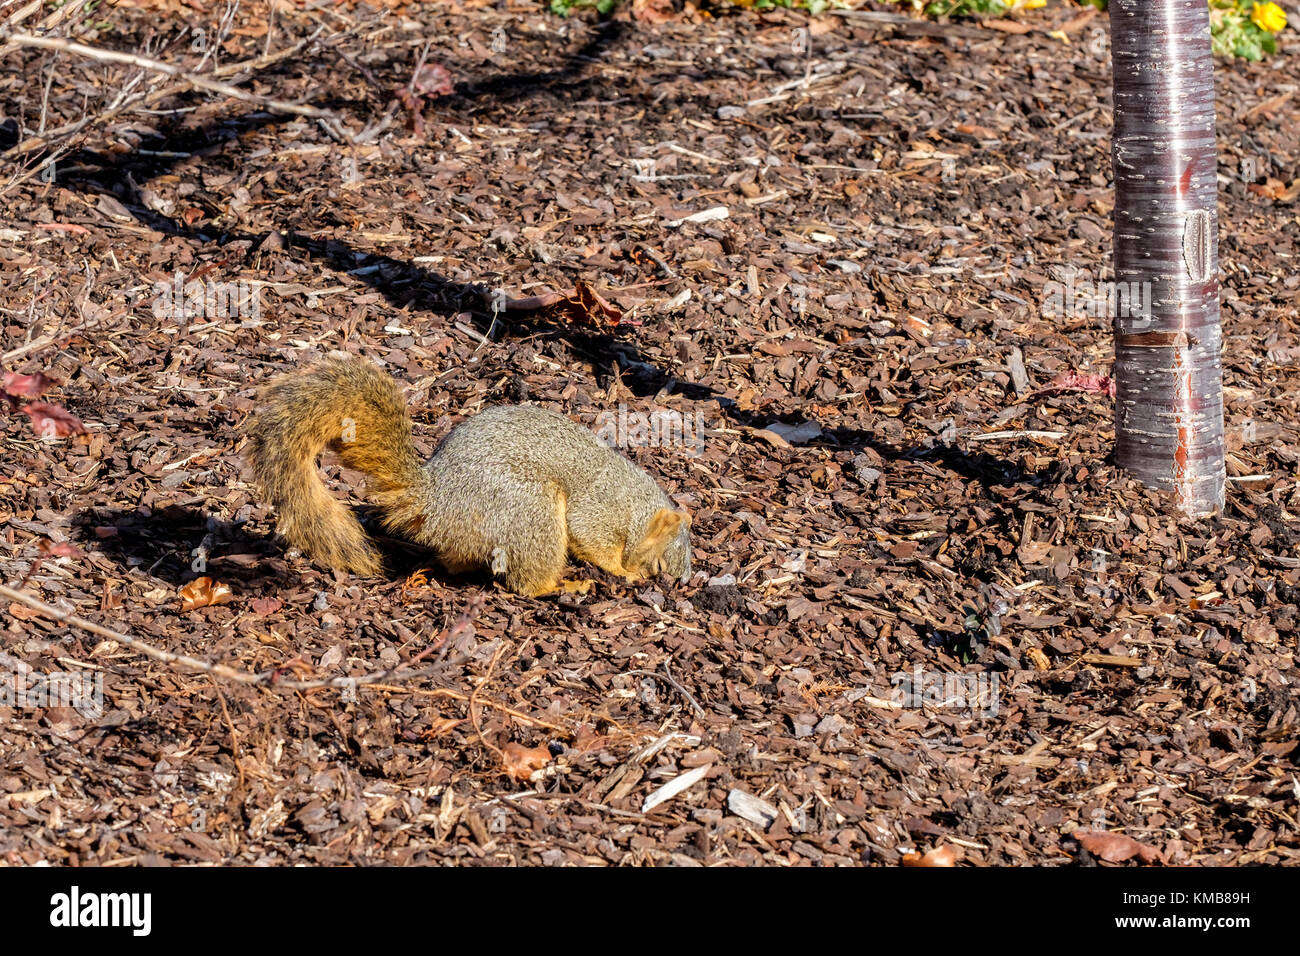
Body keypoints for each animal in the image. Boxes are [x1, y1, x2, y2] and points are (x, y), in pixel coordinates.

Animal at [243, 356, 691, 596]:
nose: (665, 586)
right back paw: (563, 586)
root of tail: (435, 499)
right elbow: (593, 540)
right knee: (528, 581)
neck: (635, 506)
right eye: (658, 564)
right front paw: (622, 571)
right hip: (530, 509)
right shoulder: (600, 509)